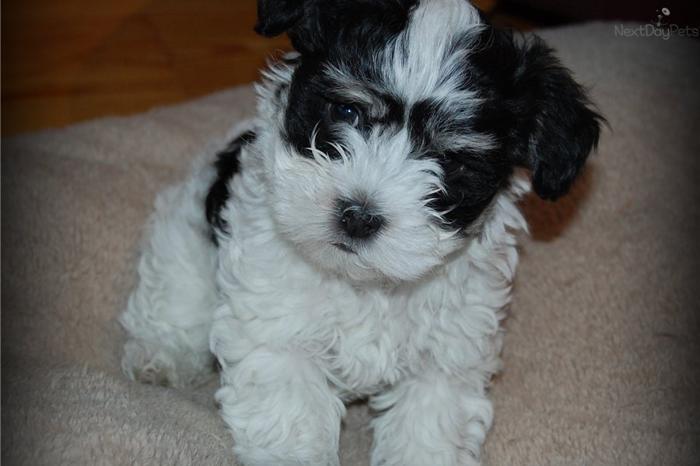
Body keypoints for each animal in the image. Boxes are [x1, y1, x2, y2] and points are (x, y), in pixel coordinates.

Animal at [120, 1, 600, 464]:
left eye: (449, 159)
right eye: (346, 110)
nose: (358, 216)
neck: (366, 281)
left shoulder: (447, 356)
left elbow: (428, 424)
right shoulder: (277, 333)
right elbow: (292, 414)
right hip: (189, 221)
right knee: (178, 287)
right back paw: (158, 354)